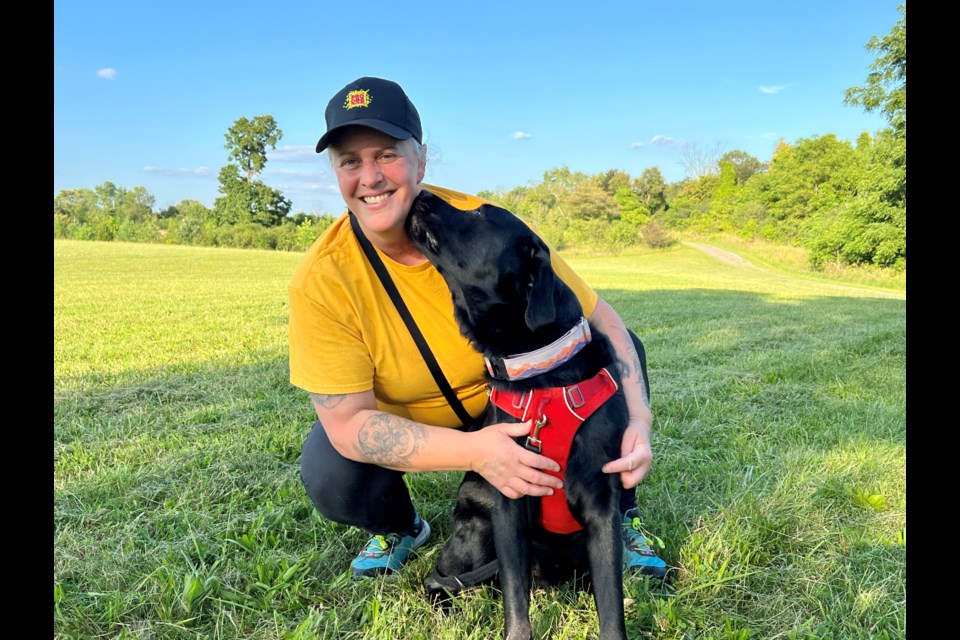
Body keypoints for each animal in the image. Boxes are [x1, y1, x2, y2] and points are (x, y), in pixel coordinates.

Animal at [406, 190, 628, 640]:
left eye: (480, 213)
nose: (420, 194)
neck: (546, 375)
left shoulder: (603, 508)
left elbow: (611, 605)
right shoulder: (509, 502)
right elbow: (515, 599)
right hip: (477, 526)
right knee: (437, 578)